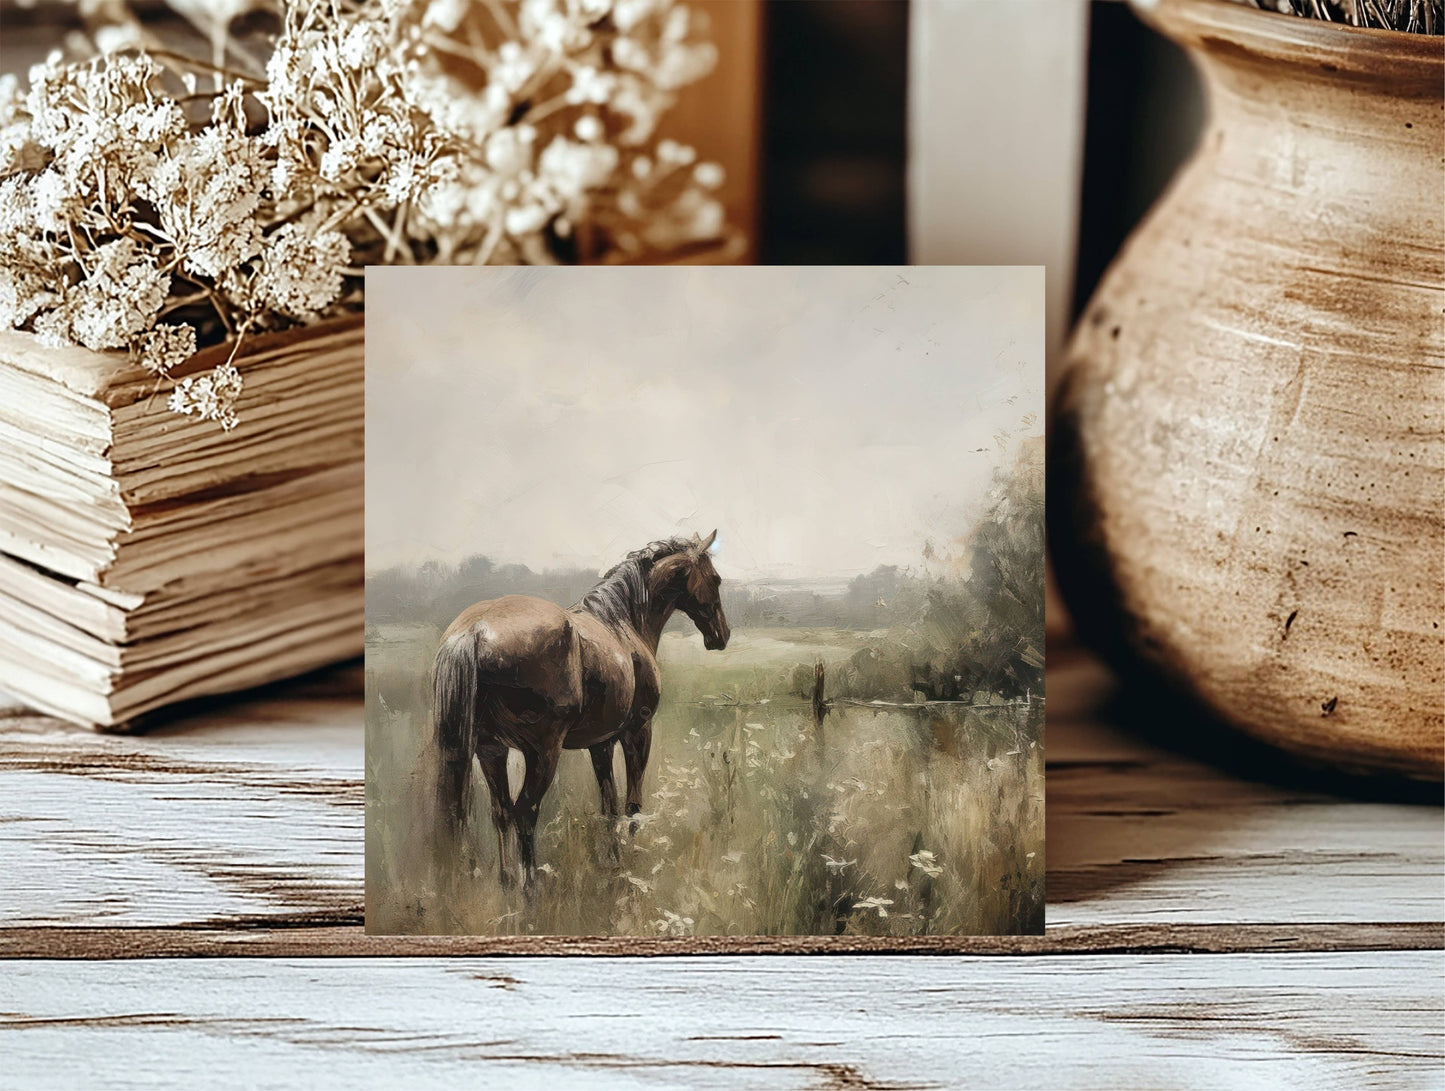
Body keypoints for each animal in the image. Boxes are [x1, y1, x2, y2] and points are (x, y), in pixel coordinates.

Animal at [431, 530, 730, 889]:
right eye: (715, 579)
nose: (722, 635)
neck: (622, 621)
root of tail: (475, 630)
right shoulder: (637, 732)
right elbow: (632, 804)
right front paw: (633, 862)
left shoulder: (600, 743)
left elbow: (609, 806)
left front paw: (614, 861)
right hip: (542, 753)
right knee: (524, 812)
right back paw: (530, 889)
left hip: (490, 750)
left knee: (501, 812)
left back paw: (507, 884)